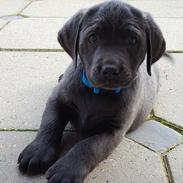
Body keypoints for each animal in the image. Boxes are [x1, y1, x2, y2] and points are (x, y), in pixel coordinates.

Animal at [17, 0, 166, 182]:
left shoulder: (113, 130)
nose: (110, 69)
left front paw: (66, 170)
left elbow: (89, 146)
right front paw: (37, 151)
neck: (97, 92)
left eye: (132, 40)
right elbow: (49, 123)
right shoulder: (57, 100)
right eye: (92, 38)